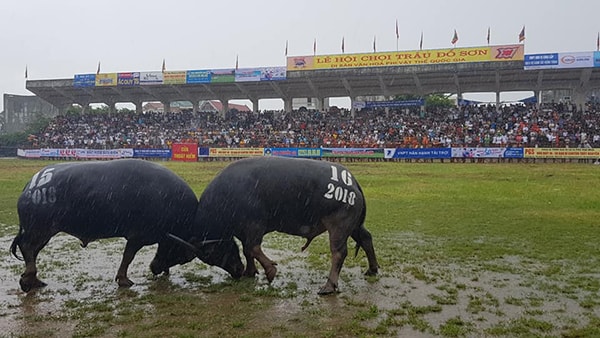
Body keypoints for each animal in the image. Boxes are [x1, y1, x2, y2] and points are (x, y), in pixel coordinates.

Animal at [9, 160, 244, 292]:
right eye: (215, 254)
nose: (239, 269)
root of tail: (30, 185)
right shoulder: (137, 237)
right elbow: (128, 257)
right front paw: (123, 280)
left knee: (30, 250)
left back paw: (34, 280)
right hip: (40, 229)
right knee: (28, 249)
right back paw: (29, 280)